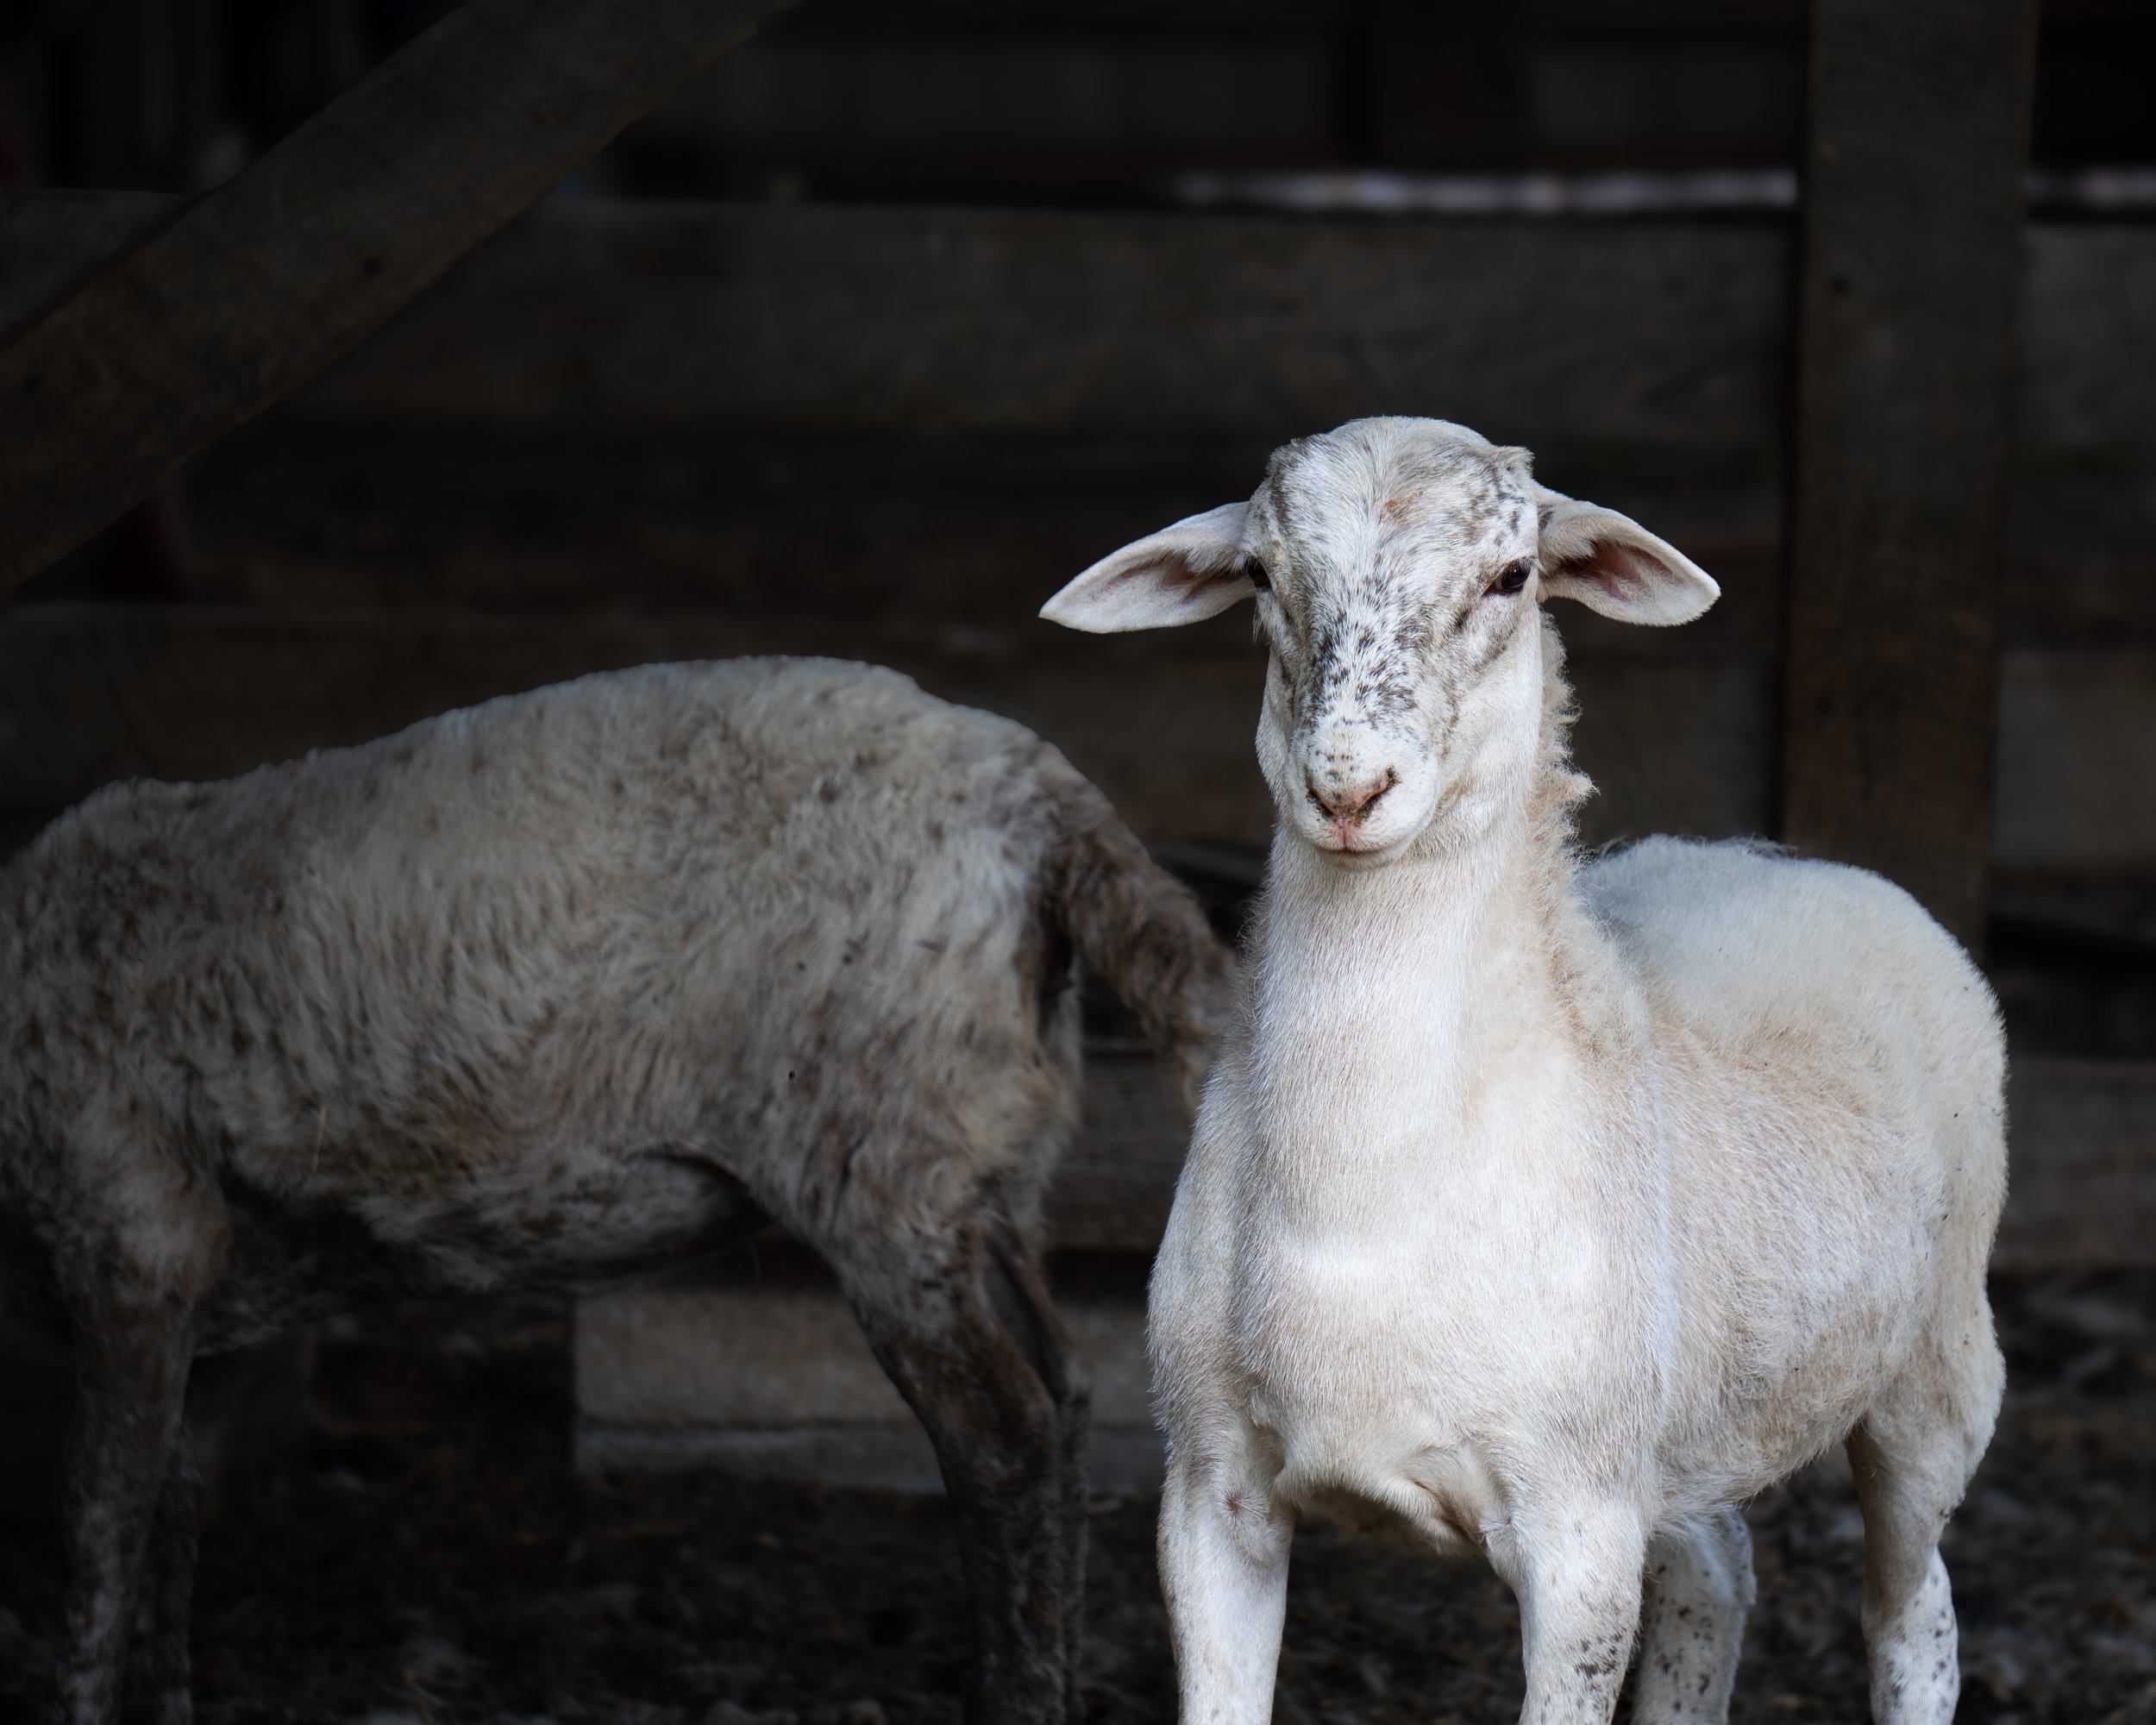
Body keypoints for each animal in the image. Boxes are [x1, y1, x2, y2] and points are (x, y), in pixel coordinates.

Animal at [0, 655, 1233, 1725]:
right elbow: (169, 1513)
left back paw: (1014, 1692)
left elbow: (96, 1523)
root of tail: (1043, 798)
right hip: (985, 1161)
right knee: (1065, 1396)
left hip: (886, 1148)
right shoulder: (203, 1289)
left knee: (1004, 1438)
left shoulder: (128, 1230)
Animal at [1041, 417, 2007, 1725]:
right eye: (1259, 574)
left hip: (1938, 1364)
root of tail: (1793, 859)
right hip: (1676, 1445)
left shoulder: (1580, 1530)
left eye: (1512, 576)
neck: (1360, 1200)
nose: (1347, 787)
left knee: (1915, 1613)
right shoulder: (1208, 1489)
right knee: (1718, 1566)